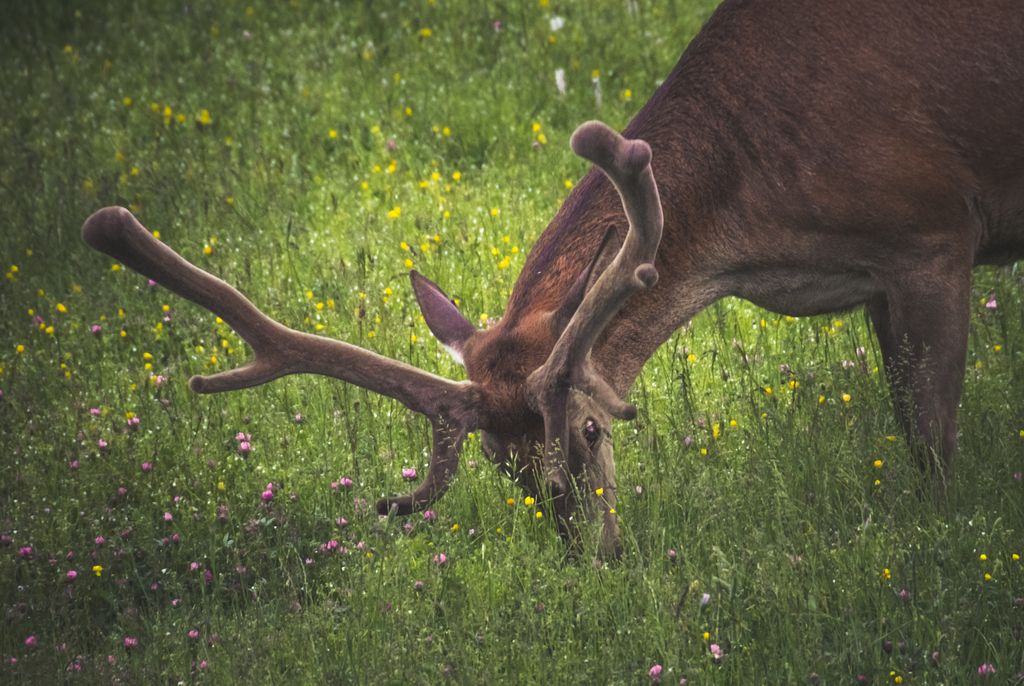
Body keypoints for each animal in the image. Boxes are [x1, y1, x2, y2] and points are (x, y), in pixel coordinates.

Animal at [81, 0, 1024, 556]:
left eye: (592, 432)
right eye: (504, 468)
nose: (595, 558)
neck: (758, 229)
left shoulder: (933, 233)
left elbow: (932, 447)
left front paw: (941, 539)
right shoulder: (873, 280)